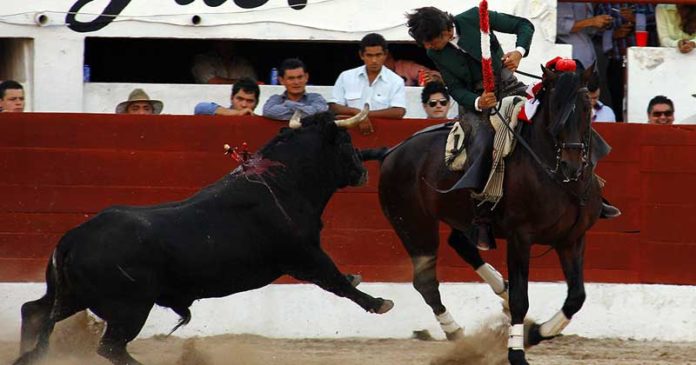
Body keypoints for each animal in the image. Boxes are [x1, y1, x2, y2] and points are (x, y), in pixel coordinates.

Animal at [14, 110, 392, 364]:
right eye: (346, 141)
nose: (363, 170)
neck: (282, 182)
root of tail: (73, 238)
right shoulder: (305, 255)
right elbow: (337, 282)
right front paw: (378, 302)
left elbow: (339, 280)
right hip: (130, 307)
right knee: (110, 346)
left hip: (73, 295)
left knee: (34, 311)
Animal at [368, 66, 600, 364]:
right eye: (555, 108)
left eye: (586, 107)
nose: (572, 165)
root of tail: (390, 152)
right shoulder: (520, 237)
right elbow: (521, 299)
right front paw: (517, 352)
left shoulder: (572, 238)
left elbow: (576, 297)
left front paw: (535, 332)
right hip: (414, 226)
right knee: (426, 281)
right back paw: (456, 333)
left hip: (462, 219)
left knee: (460, 244)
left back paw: (501, 289)